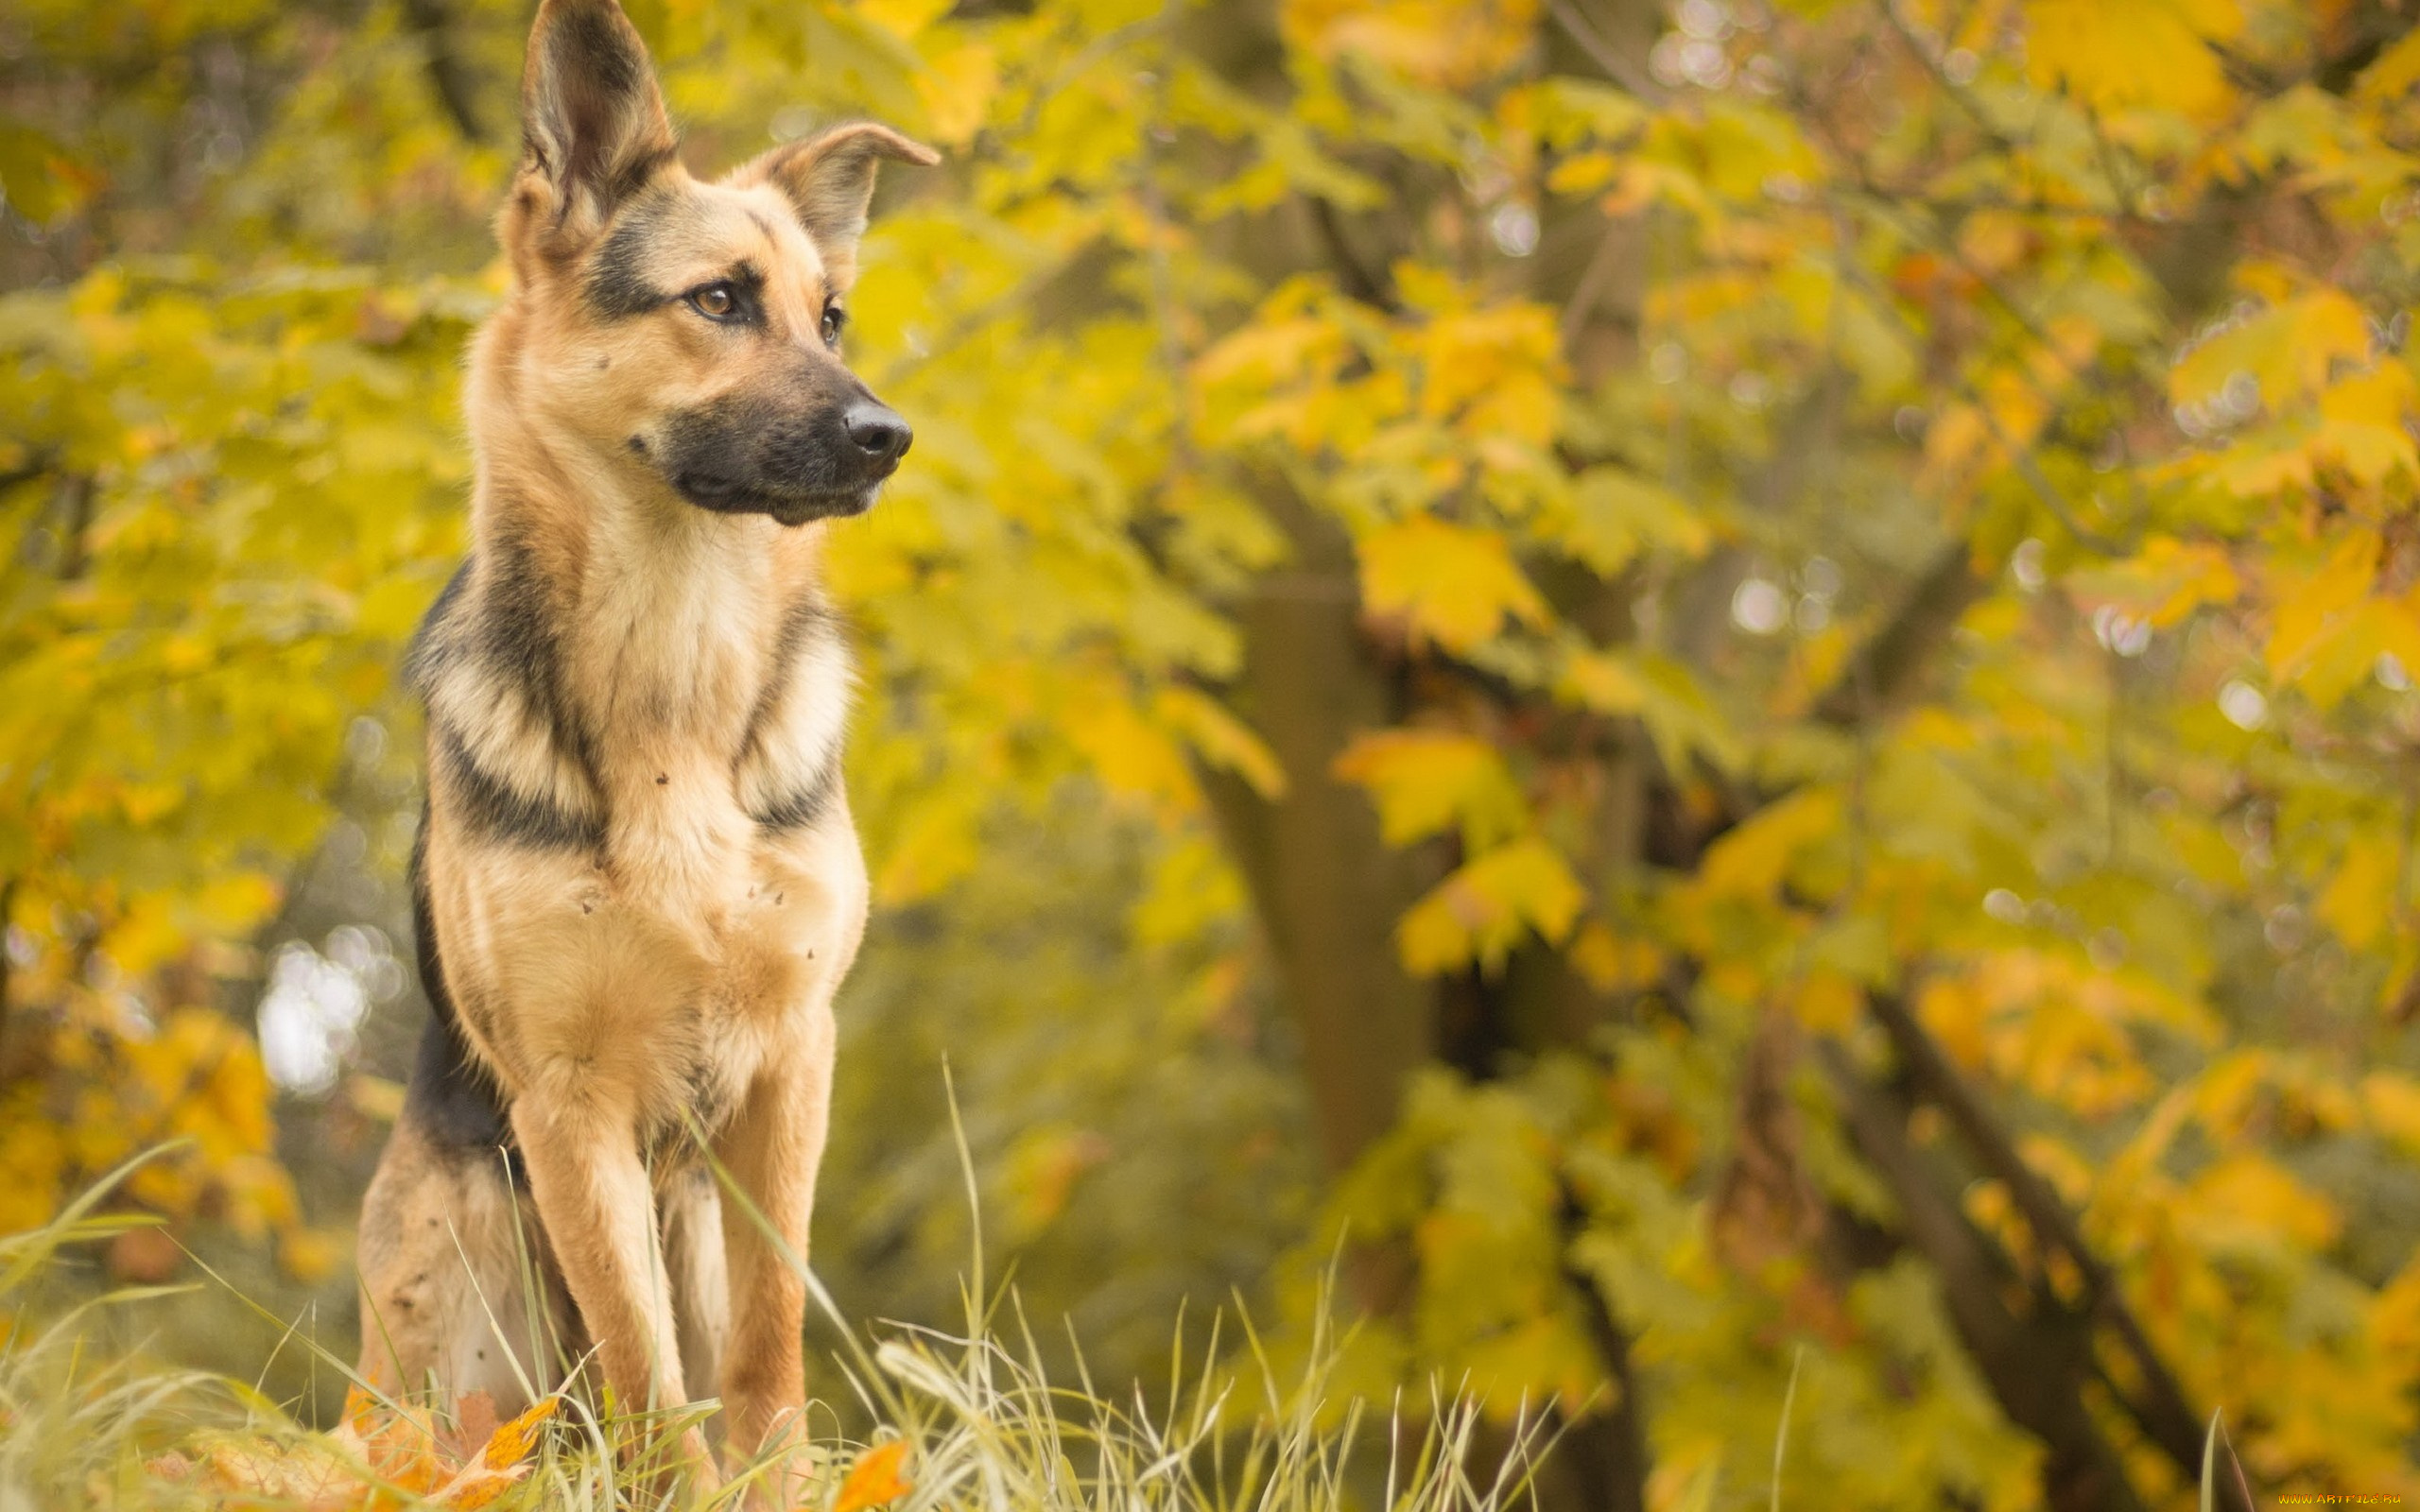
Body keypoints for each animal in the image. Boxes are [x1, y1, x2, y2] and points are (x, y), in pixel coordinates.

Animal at [351, 0, 934, 1489]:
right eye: (717, 299)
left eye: (830, 315)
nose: (887, 436)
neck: (674, 666)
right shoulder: (568, 1109)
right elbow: (644, 1371)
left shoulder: (788, 1066)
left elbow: (762, 1353)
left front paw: (777, 1491)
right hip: (454, 1337)